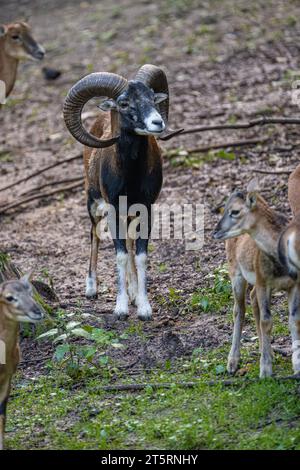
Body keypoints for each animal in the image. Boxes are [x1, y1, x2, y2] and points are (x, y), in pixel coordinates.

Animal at [63, 65, 173, 320]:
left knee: (130, 242)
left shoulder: (146, 210)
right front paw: (121, 309)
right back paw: (91, 289)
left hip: (129, 215)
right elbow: (121, 255)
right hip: (94, 205)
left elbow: (139, 255)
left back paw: (133, 293)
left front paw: (143, 307)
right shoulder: (113, 210)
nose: (157, 122)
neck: (130, 178)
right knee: (94, 235)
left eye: (152, 97)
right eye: (124, 103)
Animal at [213, 180, 300, 378]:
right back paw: (232, 363)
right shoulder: (262, 281)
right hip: (235, 273)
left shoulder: (294, 284)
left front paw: (297, 366)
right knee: (239, 309)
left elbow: (294, 320)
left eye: (235, 211)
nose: (216, 232)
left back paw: (265, 351)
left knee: (252, 299)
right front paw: (265, 370)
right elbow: (267, 321)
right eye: (224, 208)